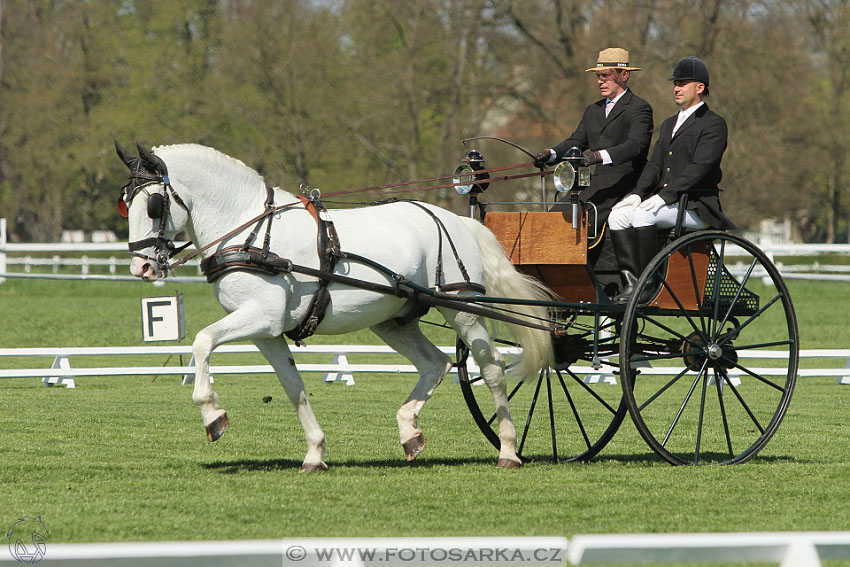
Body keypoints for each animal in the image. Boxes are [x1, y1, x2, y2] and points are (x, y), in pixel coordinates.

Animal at [114, 144, 548, 472]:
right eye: (125, 204)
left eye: (153, 205)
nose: (142, 267)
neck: (250, 229)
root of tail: (456, 219)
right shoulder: (267, 332)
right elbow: (293, 387)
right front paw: (314, 452)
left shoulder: (260, 316)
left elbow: (202, 341)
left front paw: (212, 415)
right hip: (393, 320)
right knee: (435, 363)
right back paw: (409, 432)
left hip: (463, 308)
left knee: (491, 367)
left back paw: (508, 449)